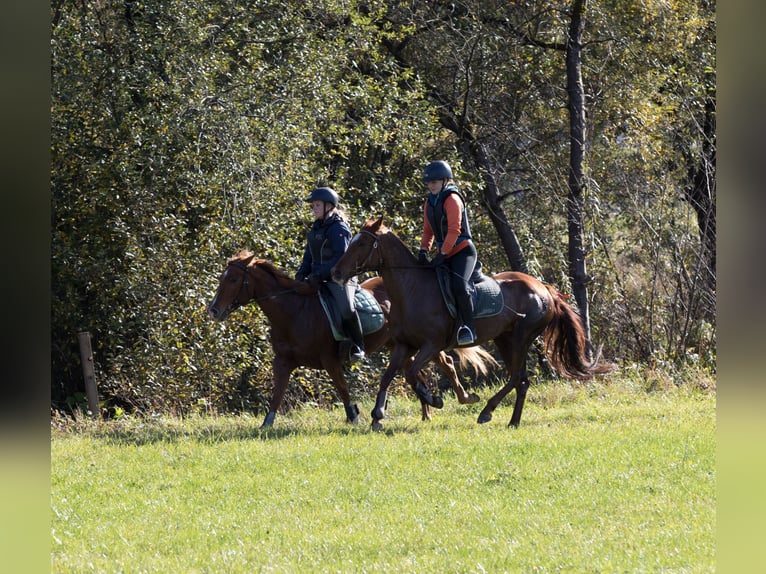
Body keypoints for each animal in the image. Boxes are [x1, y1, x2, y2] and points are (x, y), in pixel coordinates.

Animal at [206, 250, 492, 430]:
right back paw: (427, 412)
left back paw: (457, 400)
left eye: (233, 279)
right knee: (419, 372)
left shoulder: (329, 360)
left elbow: (342, 389)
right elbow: (277, 394)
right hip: (400, 346)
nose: (214, 310)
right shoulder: (283, 362)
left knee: (444, 363)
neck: (294, 312)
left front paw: (354, 416)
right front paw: (266, 424)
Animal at [332, 218, 616, 430]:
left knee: (517, 376)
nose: (335, 273)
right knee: (521, 380)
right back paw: (512, 422)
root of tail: (545, 288)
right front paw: (378, 414)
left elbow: (412, 373)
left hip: (521, 337)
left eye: (362, 243)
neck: (411, 289)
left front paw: (434, 399)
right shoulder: (404, 345)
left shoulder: (432, 345)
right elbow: (389, 376)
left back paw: (487, 411)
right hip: (504, 339)